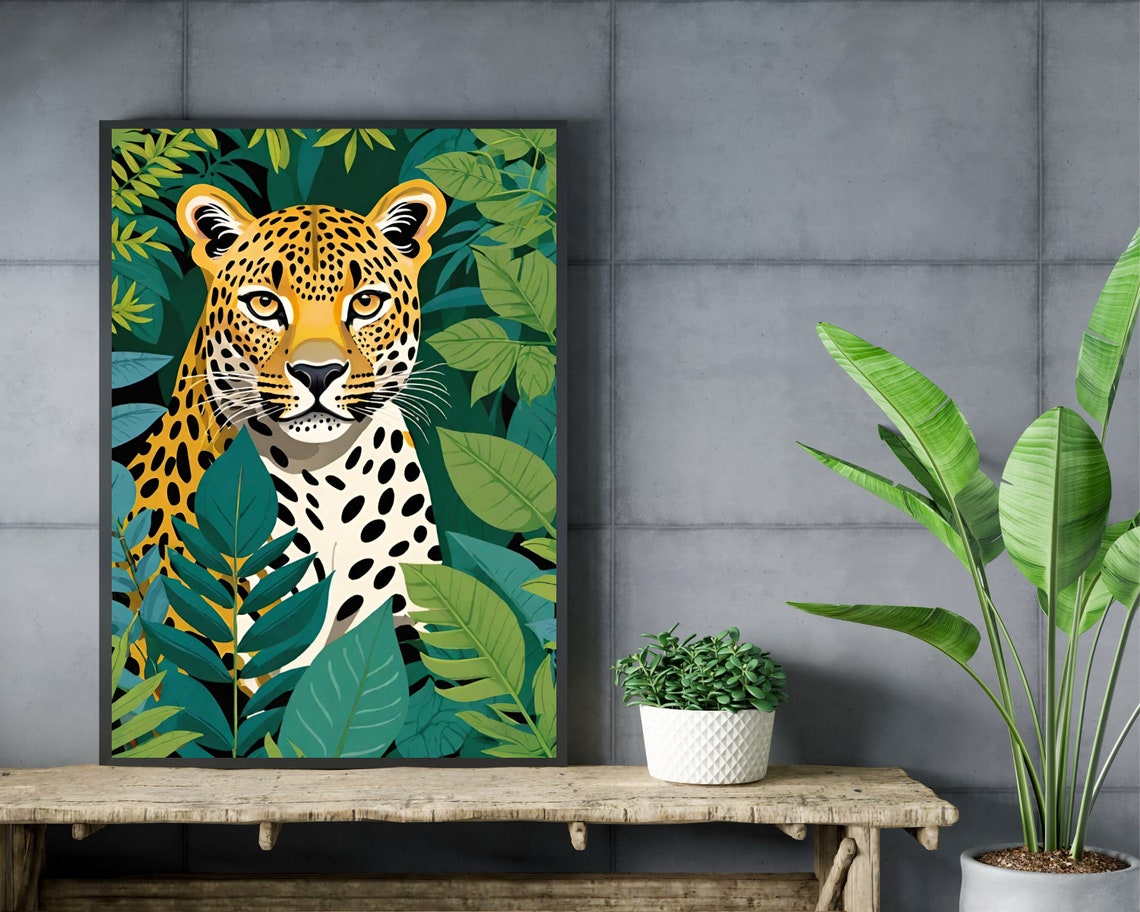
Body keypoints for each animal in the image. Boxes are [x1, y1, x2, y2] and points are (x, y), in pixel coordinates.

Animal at [124, 179, 448, 676]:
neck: (334, 475)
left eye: (366, 302)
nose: (318, 373)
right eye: (264, 303)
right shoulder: (260, 642)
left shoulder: (420, 611)